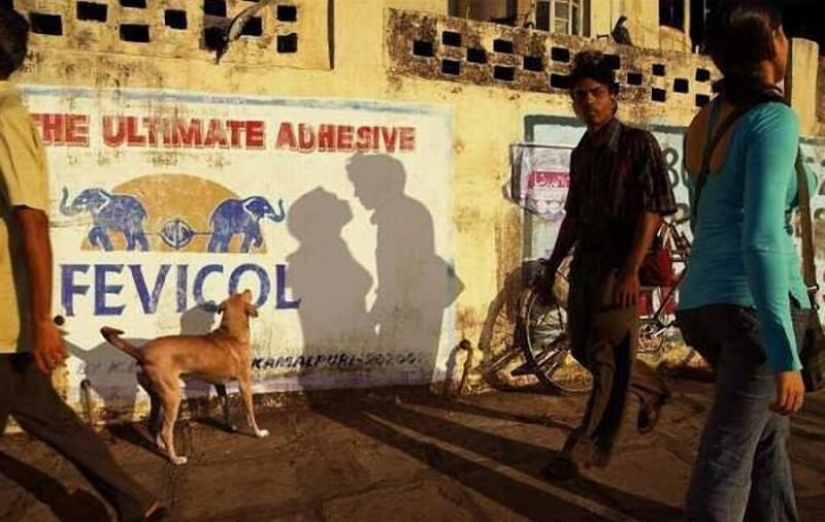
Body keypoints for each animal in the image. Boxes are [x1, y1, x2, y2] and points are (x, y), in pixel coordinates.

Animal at [99, 288, 268, 464]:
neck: (231, 334)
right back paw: (175, 459)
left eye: (237, 294)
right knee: (166, 431)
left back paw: (161, 445)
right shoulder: (245, 383)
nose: (248, 289)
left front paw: (230, 426)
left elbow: (226, 407)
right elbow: (250, 412)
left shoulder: (219, 384)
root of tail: (142, 352)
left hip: (157, 397)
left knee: (153, 425)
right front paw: (257, 433)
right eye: (244, 295)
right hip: (172, 396)